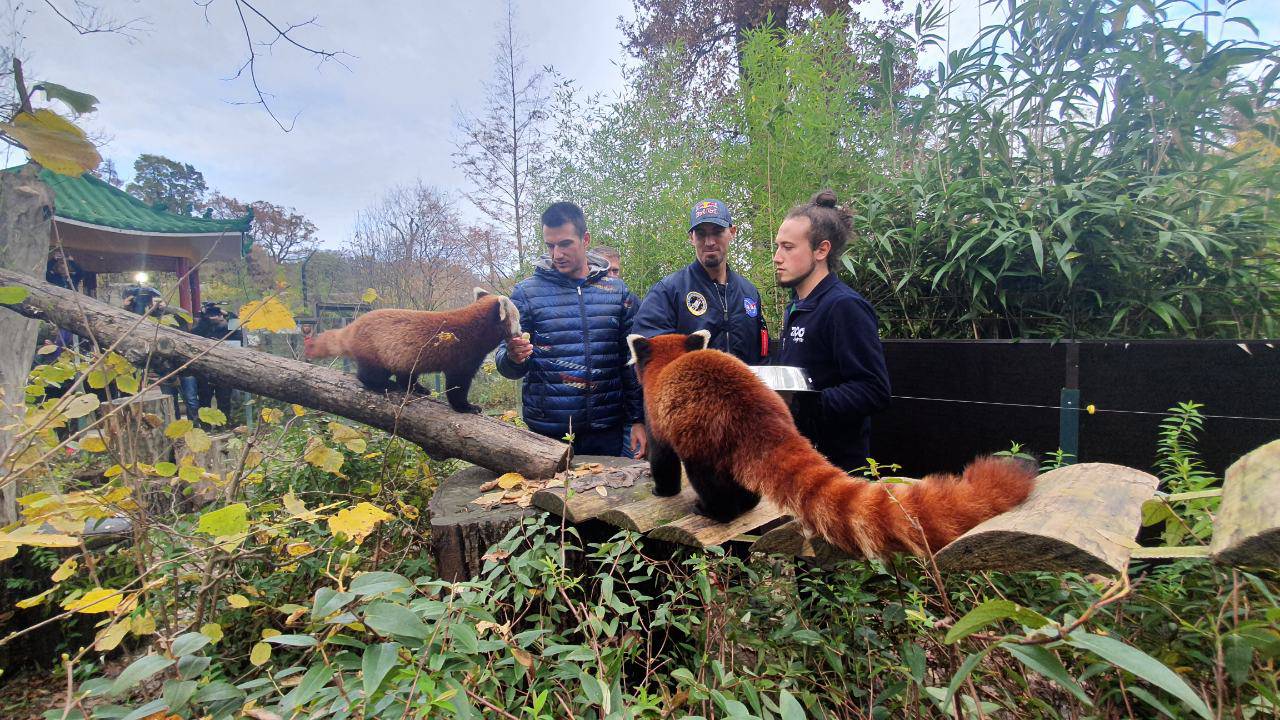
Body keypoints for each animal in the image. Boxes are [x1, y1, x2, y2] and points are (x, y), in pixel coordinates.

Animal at [304, 284, 519, 409]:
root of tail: (352, 327)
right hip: (375, 350)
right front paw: (466, 407)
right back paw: (384, 385)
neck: (476, 327)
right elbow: (457, 385)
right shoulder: (462, 355)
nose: (521, 331)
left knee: (406, 375)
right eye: (518, 320)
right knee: (370, 374)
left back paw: (418, 389)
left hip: (405, 357)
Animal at [629, 327, 1039, 558]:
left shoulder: (657, 416)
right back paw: (746, 504)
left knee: (708, 478)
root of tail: (761, 413)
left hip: (703, 436)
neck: (667, 363)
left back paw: (713, 510)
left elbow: (662, 457)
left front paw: (662, 490)